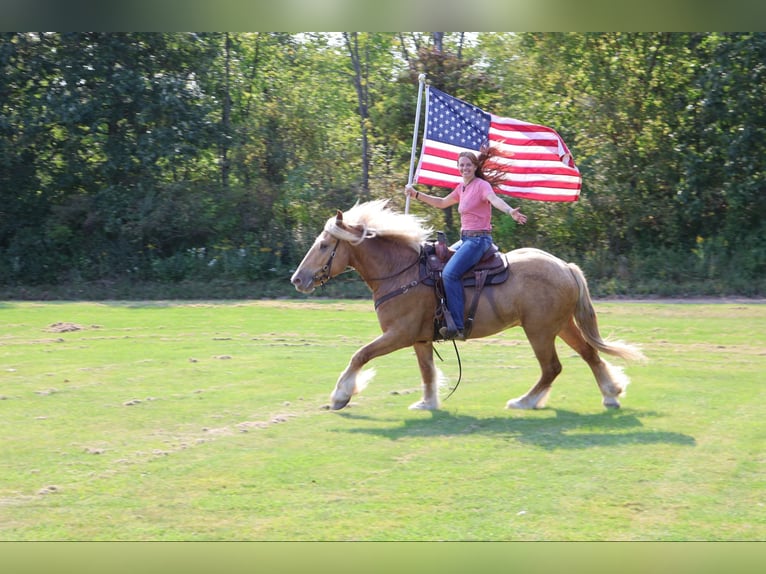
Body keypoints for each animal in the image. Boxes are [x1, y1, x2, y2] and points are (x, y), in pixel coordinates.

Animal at [292, 201, 644, 414]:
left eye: (324, 245)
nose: (298, 279)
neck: (402, 273)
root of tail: (564, 266)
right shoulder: (420, 338)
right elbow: (426, 371)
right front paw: (428, 403)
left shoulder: (399, 334)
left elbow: (360, 355)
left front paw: (341, 395)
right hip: (561, 325)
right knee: (589, 354)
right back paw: (610, 393)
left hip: (540, 330)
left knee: (552, 368)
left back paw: (525, 401)